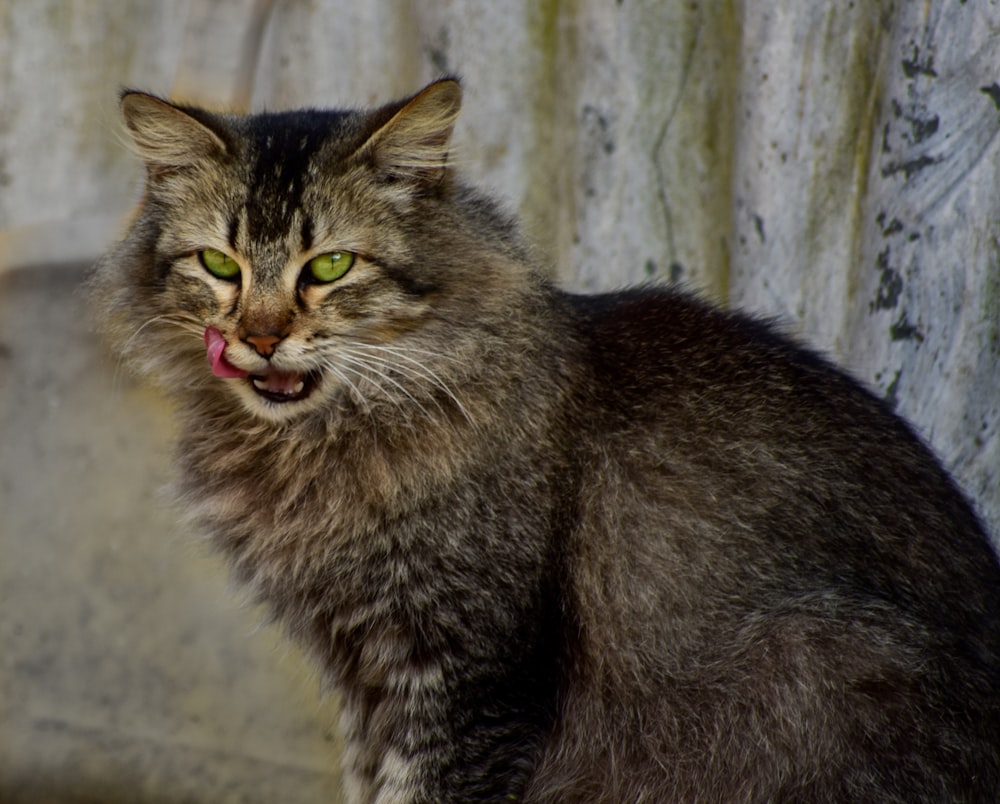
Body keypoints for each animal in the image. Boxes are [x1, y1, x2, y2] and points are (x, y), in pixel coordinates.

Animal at [92, 77, 1000, 804]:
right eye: (219, 264)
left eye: (330, 268)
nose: (262, 337)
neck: (318, 446)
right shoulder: (366, 675)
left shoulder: (468, 675)